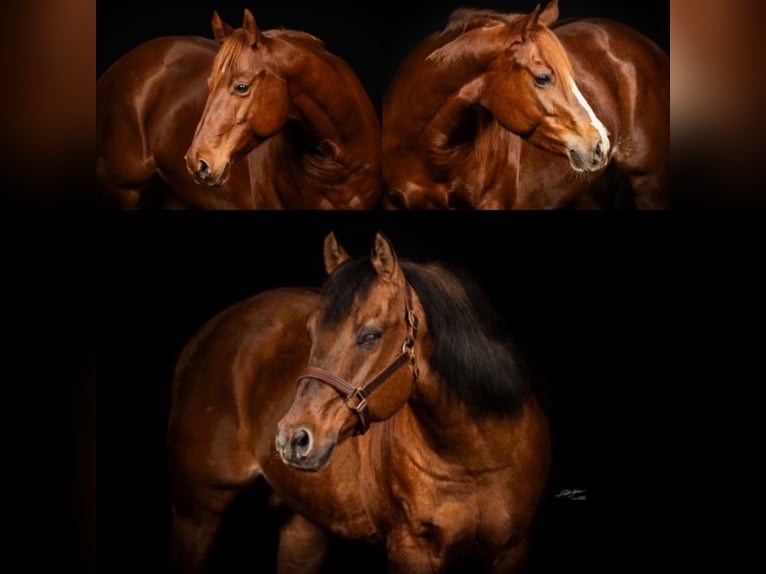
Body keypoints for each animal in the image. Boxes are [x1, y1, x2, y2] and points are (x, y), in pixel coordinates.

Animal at [168, 232, 551, 573]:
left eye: (370, 335)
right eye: (310, 331)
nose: (292, 438)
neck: (475, 459)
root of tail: (208, 332)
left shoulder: (513, 549)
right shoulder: (410, 549)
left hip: (303, 525)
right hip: (196, 512)